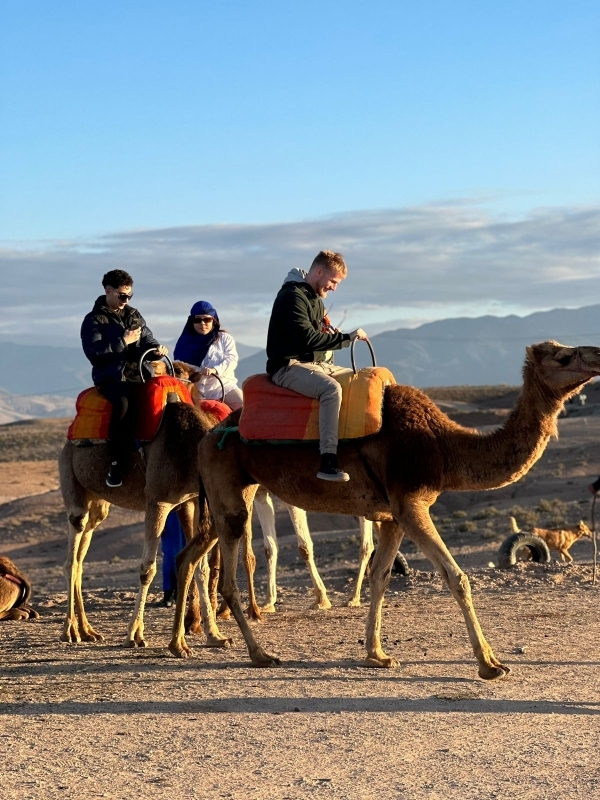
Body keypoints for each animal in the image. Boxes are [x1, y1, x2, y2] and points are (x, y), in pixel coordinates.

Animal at [169, 342, 600, 680]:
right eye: (563, 356)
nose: (598, 355)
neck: (443, 447)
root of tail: (210, 433)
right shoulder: (411, 504)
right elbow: (456, 577)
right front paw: (490, 665)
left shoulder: (393, 516)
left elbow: (381, 577)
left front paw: (376, 654)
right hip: (229, 489)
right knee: (223, 573)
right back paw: (259, 654)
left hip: (230, 493)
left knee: (188, 554)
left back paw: (180, 644)